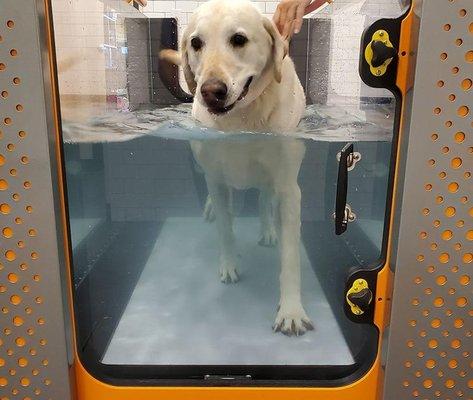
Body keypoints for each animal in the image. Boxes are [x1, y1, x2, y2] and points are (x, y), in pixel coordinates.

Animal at [160, 0, 312, 338]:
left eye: (239, 39)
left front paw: (291, 311)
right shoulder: (217, 179)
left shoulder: (289, 189)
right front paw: (229, 265)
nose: (210, 91)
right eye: (196, 43)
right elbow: (226, 229)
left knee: (264, 198)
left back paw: (268, 229)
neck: (242, 119)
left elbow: (291, 258)